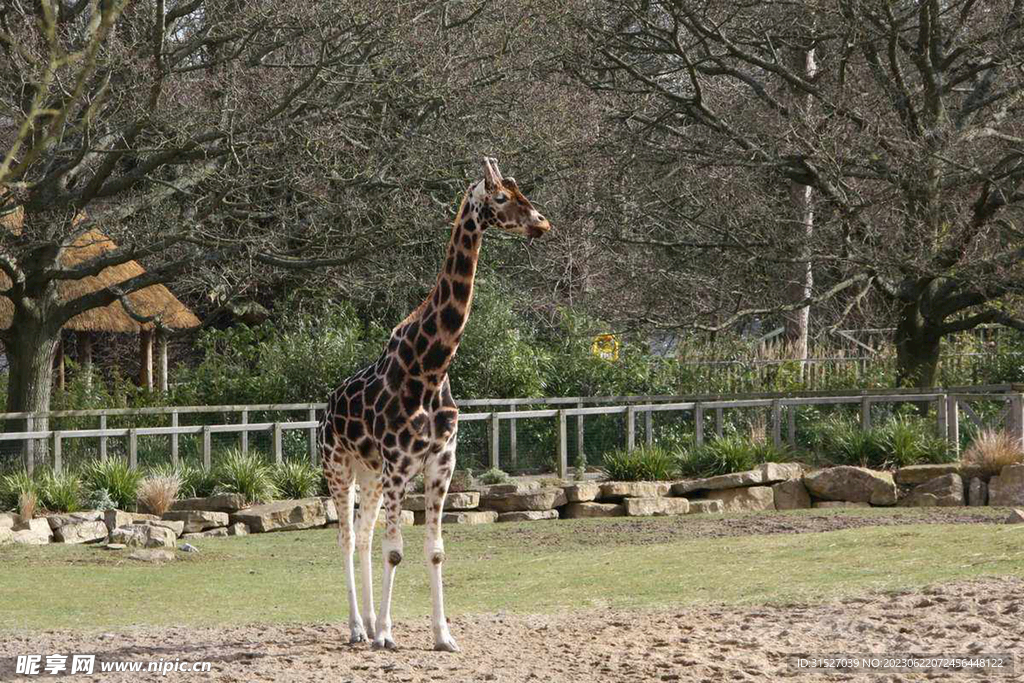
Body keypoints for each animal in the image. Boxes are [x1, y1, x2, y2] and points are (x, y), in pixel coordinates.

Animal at [317, 157, 552, 655]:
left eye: (522, 193)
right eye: (501, 197)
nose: (542, 222)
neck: (431, 367)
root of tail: (327, 407)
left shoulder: (441, 462)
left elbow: (435, 550)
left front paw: (442, 635)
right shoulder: (400, 464)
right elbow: (395, 551)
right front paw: (388, 635)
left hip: (370, 475)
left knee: (363, 537)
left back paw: (368, 624)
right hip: (339, 468)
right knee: (346, 538)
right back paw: (358, 629)